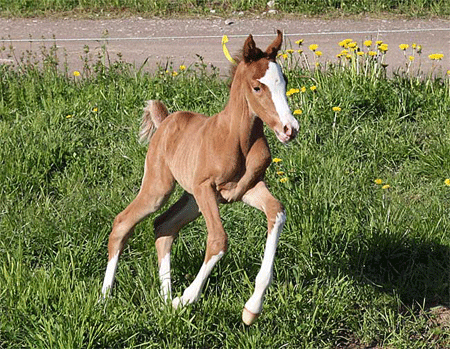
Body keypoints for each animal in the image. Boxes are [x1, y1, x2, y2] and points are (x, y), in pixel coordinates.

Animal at [101, 29, 298, 324]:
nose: (289, 129)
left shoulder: (247, 189)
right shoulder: (207, 188)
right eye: (257, 87)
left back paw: (164, 300)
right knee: (124, 222)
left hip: (191, 200)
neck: (236, 138)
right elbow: (218, 240)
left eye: (283, 83)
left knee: (164, 226)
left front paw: (252, 309)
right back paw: (104, 297)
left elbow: (277, 212)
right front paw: (185, 299)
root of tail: (165, 120)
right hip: (160, 187)